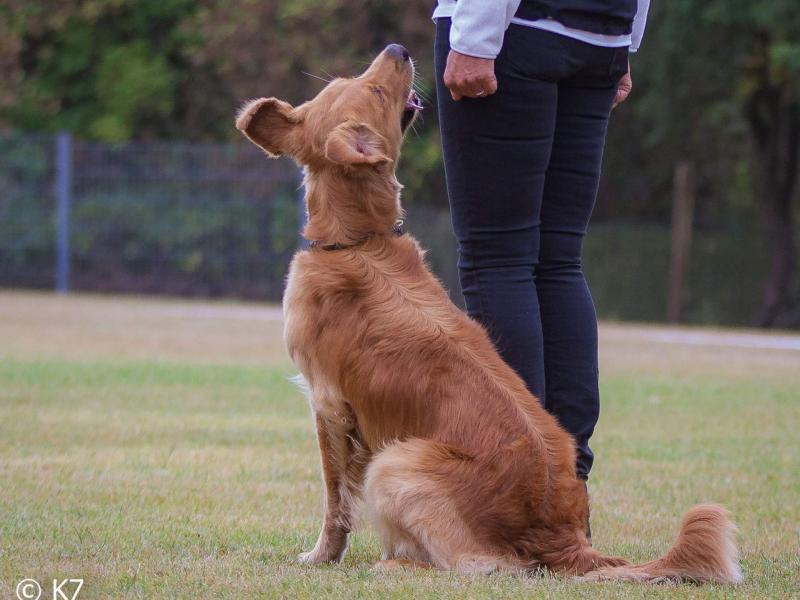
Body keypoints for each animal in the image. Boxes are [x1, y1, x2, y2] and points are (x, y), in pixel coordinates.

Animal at [236, 44, 744, 584]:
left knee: (482, 566)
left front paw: (321, 556)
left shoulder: (329, 405)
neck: (358, 241)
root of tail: (565, 535)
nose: (399, 49)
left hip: (396, 462)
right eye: (365, 86)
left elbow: (335, 501)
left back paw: (398, 564)